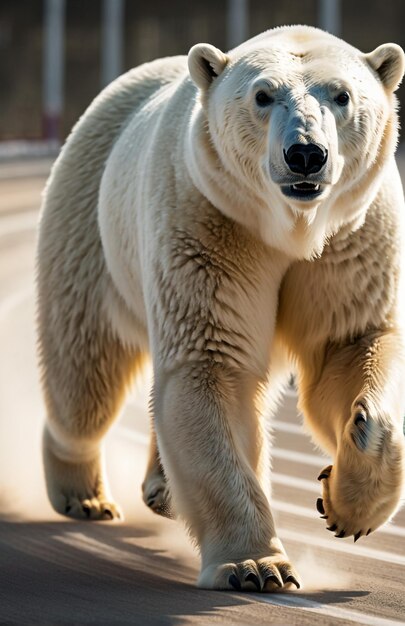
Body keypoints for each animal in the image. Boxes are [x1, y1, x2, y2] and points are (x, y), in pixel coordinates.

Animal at [36, 25, 404, 588]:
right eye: (263, 95)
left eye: (341, 95)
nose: (305, 154)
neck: (290, 228)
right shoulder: (210, 222)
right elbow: (211, 366)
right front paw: (256, 567)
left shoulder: (352, 237)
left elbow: (346, 347)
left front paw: (347, 505)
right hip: (90, 226)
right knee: (84, 378)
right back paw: (85, 495)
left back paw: (159, 489)